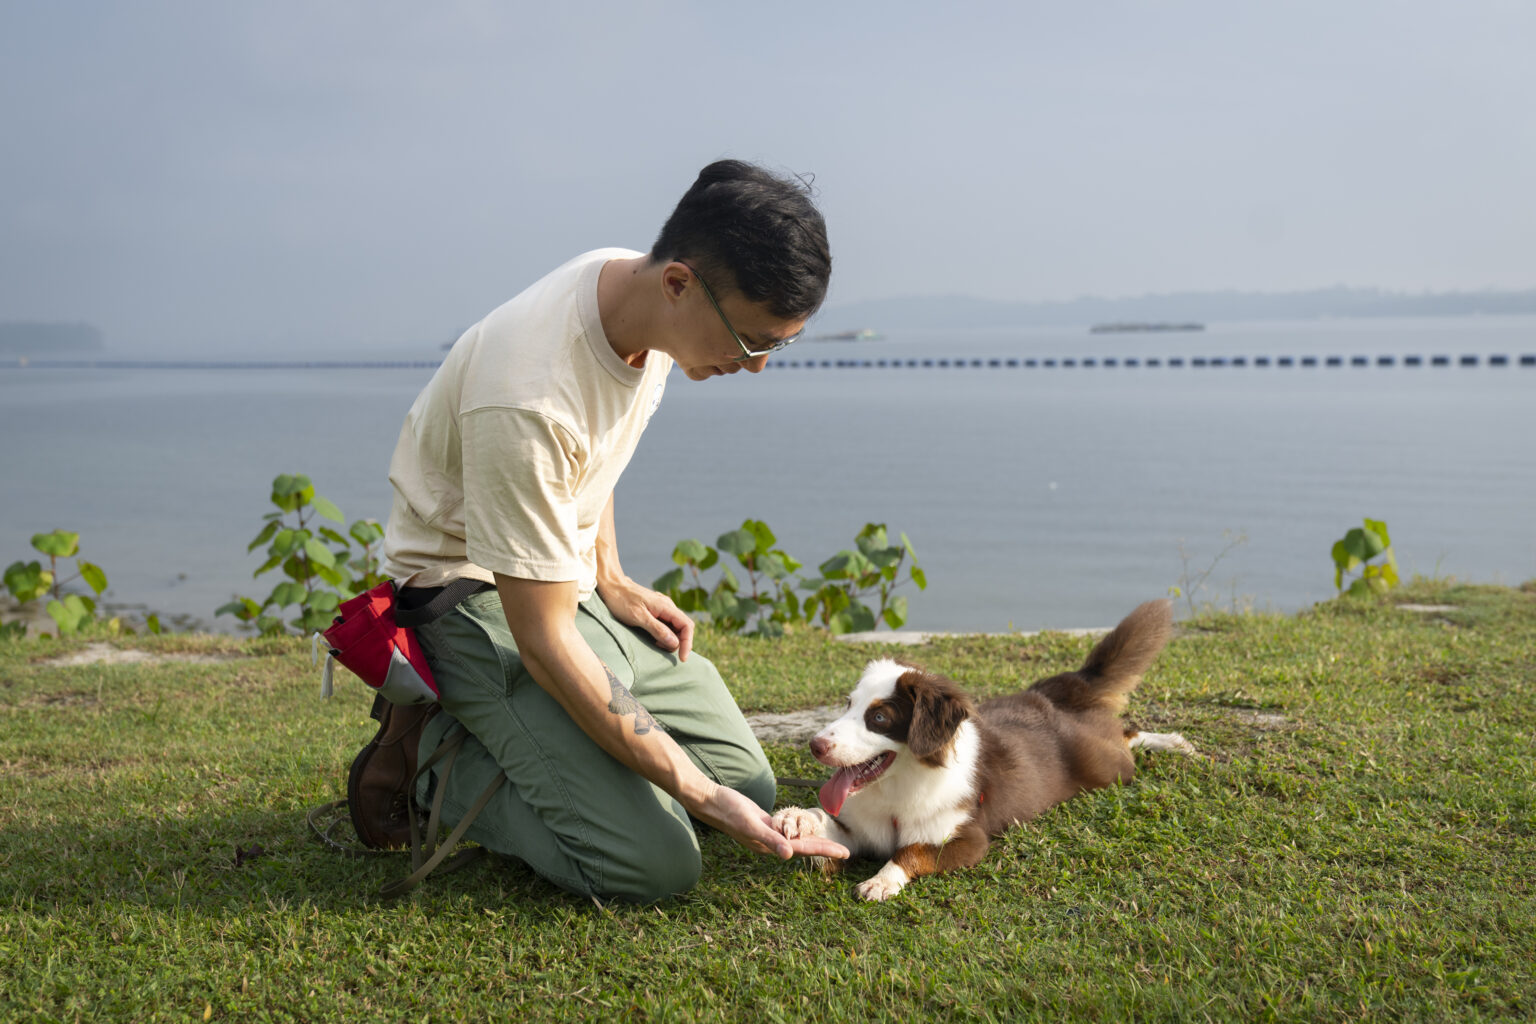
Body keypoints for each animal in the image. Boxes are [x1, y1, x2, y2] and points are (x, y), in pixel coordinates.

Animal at [774, 595, 1191, 902]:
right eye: (848, 704)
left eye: (878, 718)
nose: (815, 746)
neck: (898, 791)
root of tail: (1051, 696)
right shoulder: (860, 832)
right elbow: (827, 823)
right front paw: (796, 818)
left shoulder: (968, 839)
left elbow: (910, 851)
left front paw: (881, 880)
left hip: (1108, 768)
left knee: (1126, 736)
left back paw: (1174, 743)